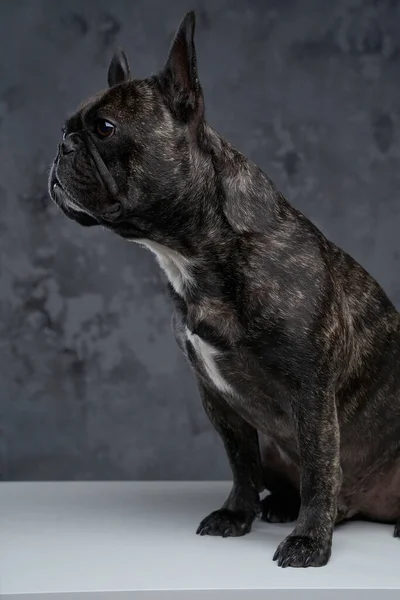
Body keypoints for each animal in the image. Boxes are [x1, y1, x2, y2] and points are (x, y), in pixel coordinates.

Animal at [48, 12, 400, 568]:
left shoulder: (312, 396)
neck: (197, 253)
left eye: (104, 129)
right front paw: (237, 514)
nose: (61, 146)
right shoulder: (218, 397)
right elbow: (240, 463)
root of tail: (367, 509)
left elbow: (322, 468)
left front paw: (308, 542)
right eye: (65, 129)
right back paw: (279, 505)